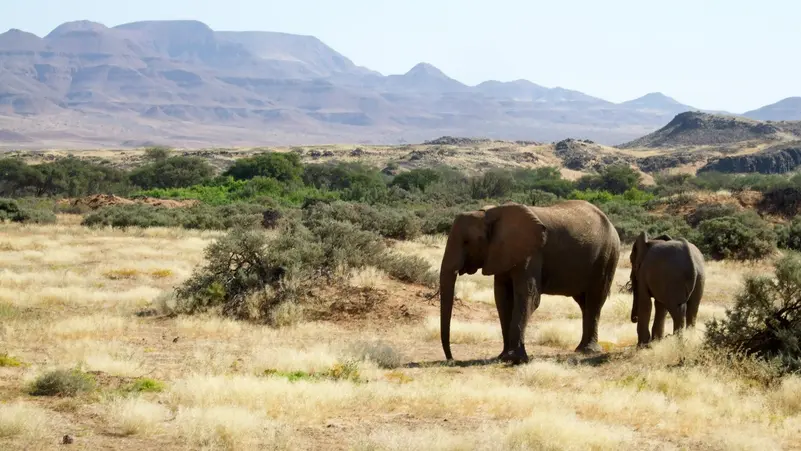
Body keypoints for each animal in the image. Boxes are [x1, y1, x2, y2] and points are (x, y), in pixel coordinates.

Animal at [438, 200, 620, 366]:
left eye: (467, 242)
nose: (451, 359)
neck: (490, 214)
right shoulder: (501, 254)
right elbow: (502, 298)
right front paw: (502, 357)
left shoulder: (531, 254)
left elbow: (528, 297)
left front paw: (514, 360)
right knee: (584, 303)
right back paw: (581, 349)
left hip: (608, 256)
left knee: (595, 300)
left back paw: (588, 351)